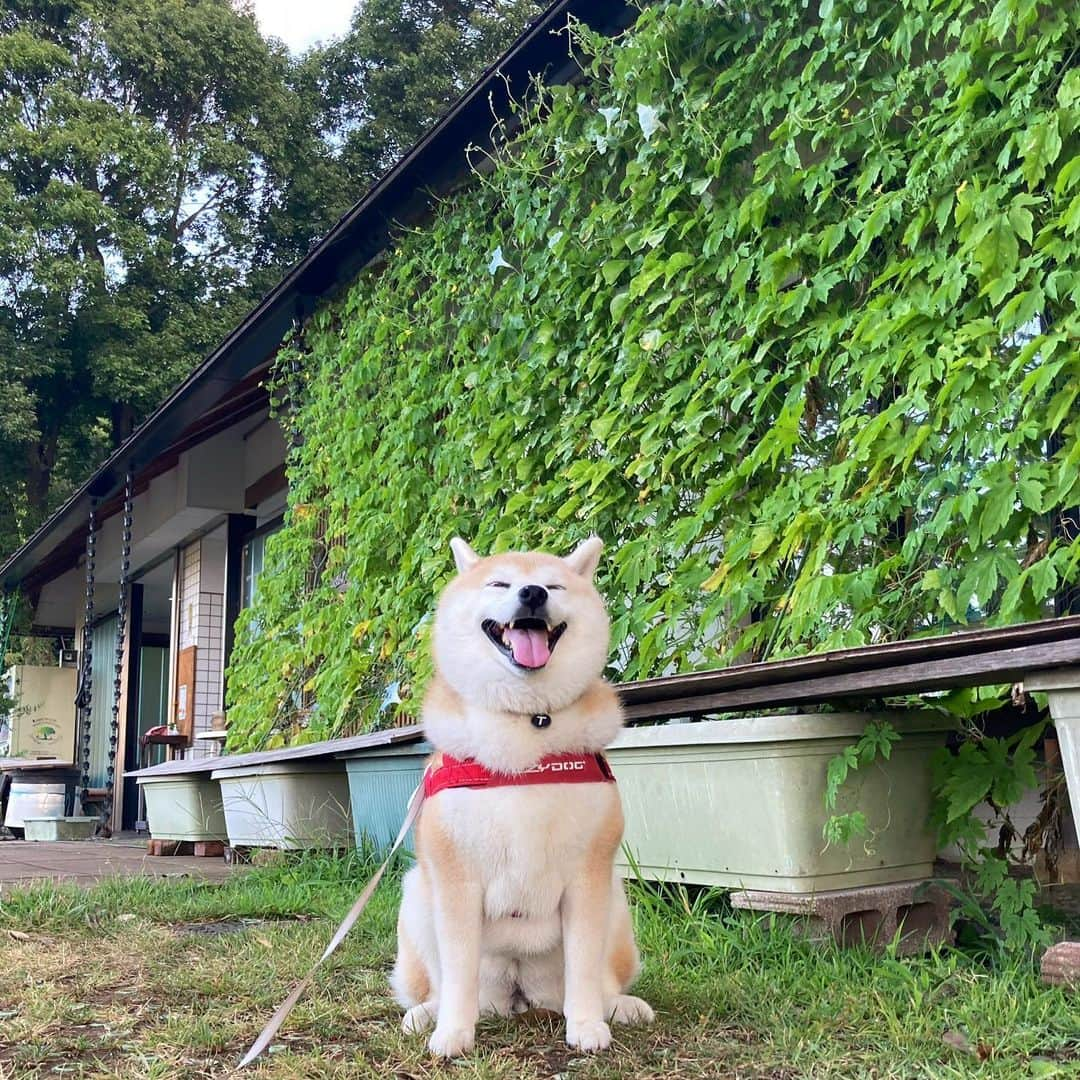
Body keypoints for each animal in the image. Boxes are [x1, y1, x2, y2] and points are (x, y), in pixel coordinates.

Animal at [393, 535, 652, 1058]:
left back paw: (619, 1006)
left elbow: (584, 964)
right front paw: (453, 1033)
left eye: (554, 585)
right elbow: (457, 971)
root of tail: (517, 996)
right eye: (499, 583)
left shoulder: (589, 876)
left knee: (598, 979)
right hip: (417, 896)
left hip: (615, 898)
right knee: (444, 984)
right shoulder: (455, 880)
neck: (526, 726)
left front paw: (587, 1025)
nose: (533, 593)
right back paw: (427, 1014)